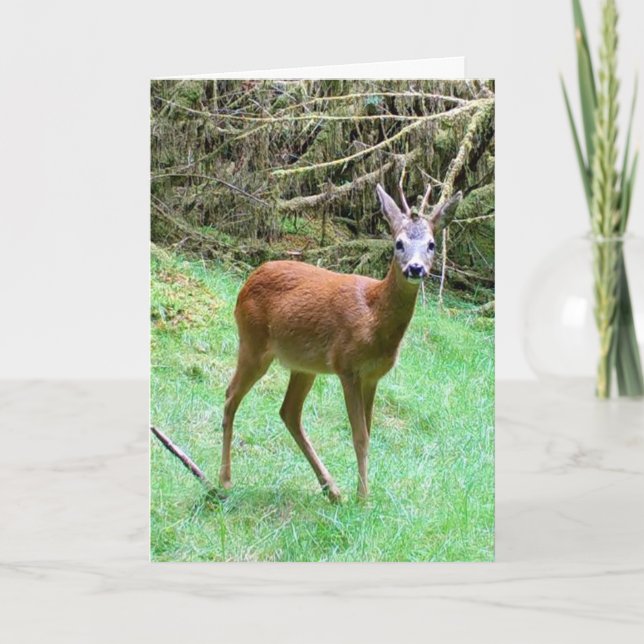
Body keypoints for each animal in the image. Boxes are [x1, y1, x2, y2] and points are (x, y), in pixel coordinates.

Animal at [219, 178, 462, 502]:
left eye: (431, 244)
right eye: (398, 243)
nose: (415, 268)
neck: (374, 318)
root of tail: (247, 281)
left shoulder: (372, 377)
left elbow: (369, 432)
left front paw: (360, 494)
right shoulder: (347, 367)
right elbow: (359, 436)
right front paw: (364, 499)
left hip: (303, 365)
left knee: (289, 412)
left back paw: (331, 489)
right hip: (253, 343)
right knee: (231, 396)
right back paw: (225, 481)